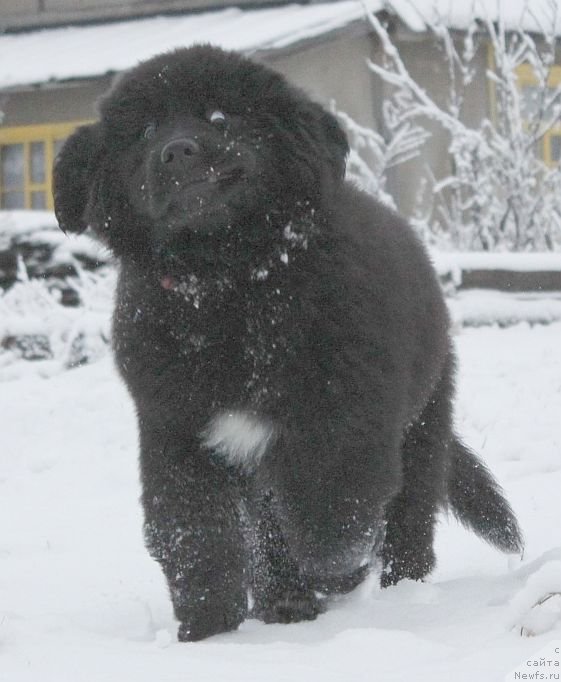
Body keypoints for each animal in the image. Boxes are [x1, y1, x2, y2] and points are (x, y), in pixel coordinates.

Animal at [52, 45, 520, 640]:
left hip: (422, 422)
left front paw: (339, 570)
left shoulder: (342, 417)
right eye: (146, 132)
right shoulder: (178, 430)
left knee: (408, 517)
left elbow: (332, 508)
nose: (176, 152)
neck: (227, 288)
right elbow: (194, 531)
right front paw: (206, 627)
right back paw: (285, 606)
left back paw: (391, 589)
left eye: (220, 117)